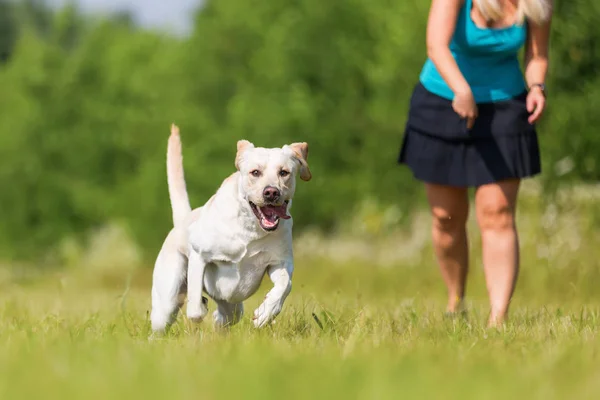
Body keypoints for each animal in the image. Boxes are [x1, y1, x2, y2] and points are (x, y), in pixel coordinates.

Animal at [149, 126, 312, 334]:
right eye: (255, 172)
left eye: (284, 172)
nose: (271, 192)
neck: (250, 230)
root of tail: (183, 220)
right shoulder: (199, 256)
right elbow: (194, 308)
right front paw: (199, 306)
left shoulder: (280, 262)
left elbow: (285, 285)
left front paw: (266, 312)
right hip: (166, 303)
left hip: (233, 309)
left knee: (224, 317)